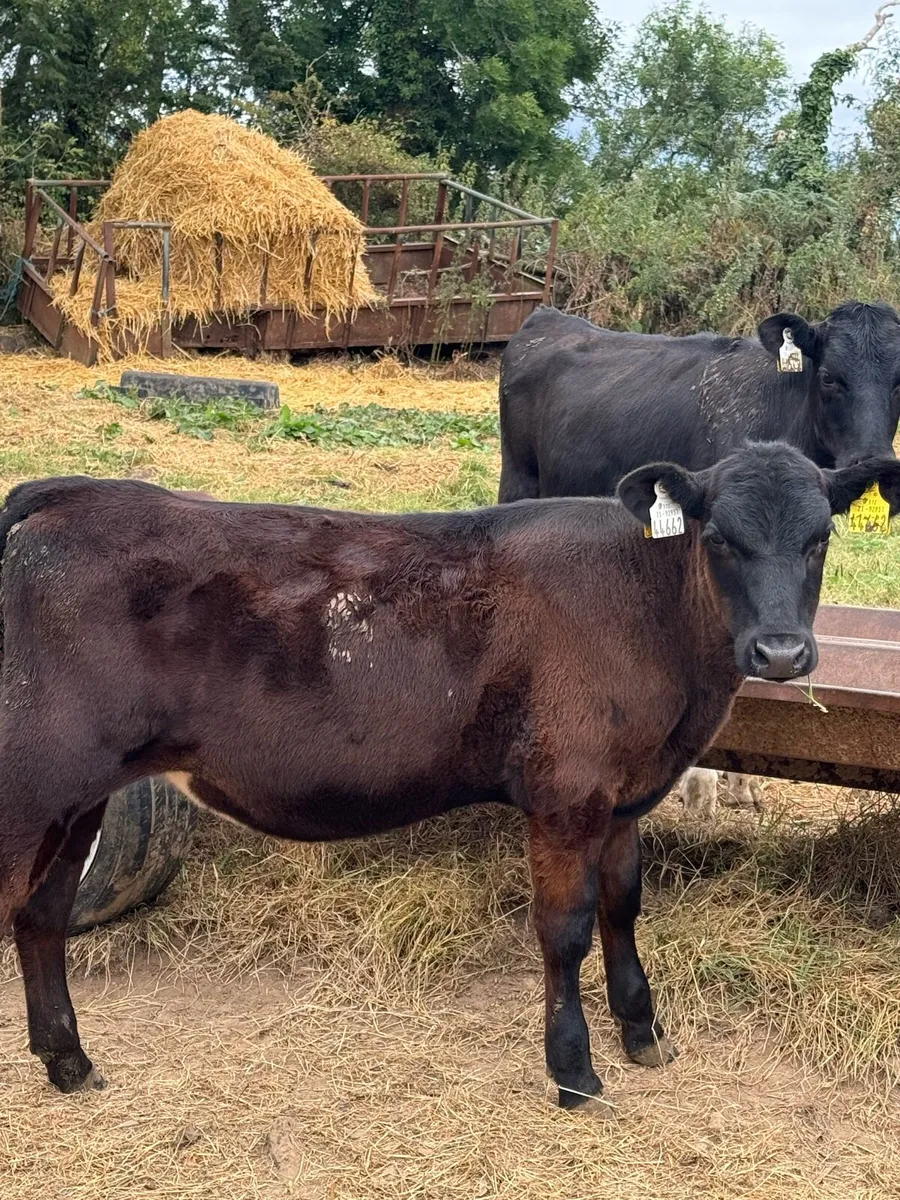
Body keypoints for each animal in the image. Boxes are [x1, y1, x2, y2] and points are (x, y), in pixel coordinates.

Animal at [1, 445, 897, 1111]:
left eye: (819, 538)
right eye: (721, 538)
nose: (780, 651)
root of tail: (62, 497)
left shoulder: (622, 794)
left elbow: (623, 907)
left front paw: (644, 1035)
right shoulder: (565, 793)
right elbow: (565, 929)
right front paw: (574, 1072)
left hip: (79, 796)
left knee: (41, 916)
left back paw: (71, 1064)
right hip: (33, 785)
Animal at [499, 300, 900, 815]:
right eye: (830, 377)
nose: (873, 463)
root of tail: (547, 317)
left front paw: (743, 784)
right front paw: (700, 785)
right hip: (517, 483)